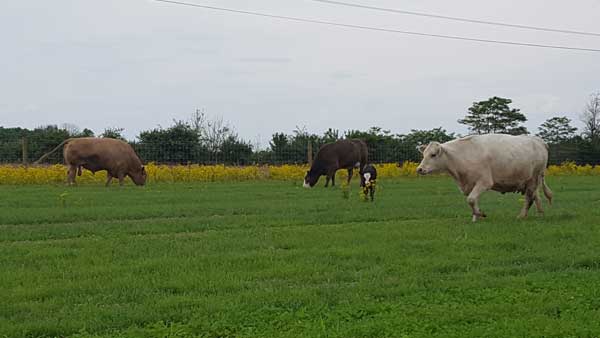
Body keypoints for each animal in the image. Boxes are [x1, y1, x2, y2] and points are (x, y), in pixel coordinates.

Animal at [418, 135, 552, 222]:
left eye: (433, 155)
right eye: (423, 154)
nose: (419, 169)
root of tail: (539, 141)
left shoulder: (484, 182)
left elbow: (471, 199)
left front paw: (479, 214)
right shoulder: (471, 184)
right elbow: (474, 200)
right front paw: (475, 217)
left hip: (534, 178)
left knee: (529, 198)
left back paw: (521, 216)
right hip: (530, 182)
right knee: (536, 197)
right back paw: (541, 215)